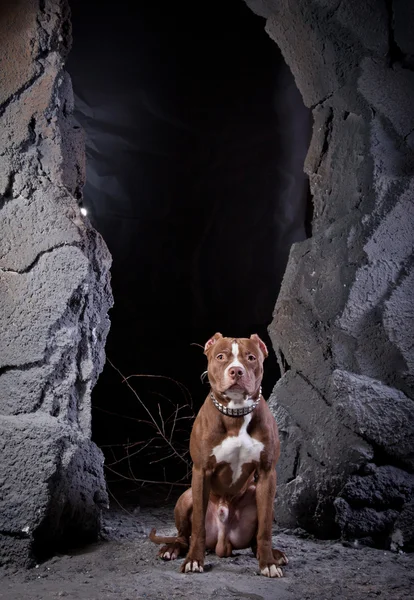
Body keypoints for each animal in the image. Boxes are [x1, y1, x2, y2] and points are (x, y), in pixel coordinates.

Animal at [150, 332, 288, 576]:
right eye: (221, 356)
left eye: (251, 357)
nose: (236, 371)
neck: (236, 412)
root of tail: (223, 544)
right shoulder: (201, 471)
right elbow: (198, 527)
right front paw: (194, 560)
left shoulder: (267, 473)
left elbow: (265, 530)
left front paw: (268, 563)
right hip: (186, 497)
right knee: (184, 536)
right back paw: (172, 548)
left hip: (261, 495)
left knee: (256, 539)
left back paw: (272, 554)